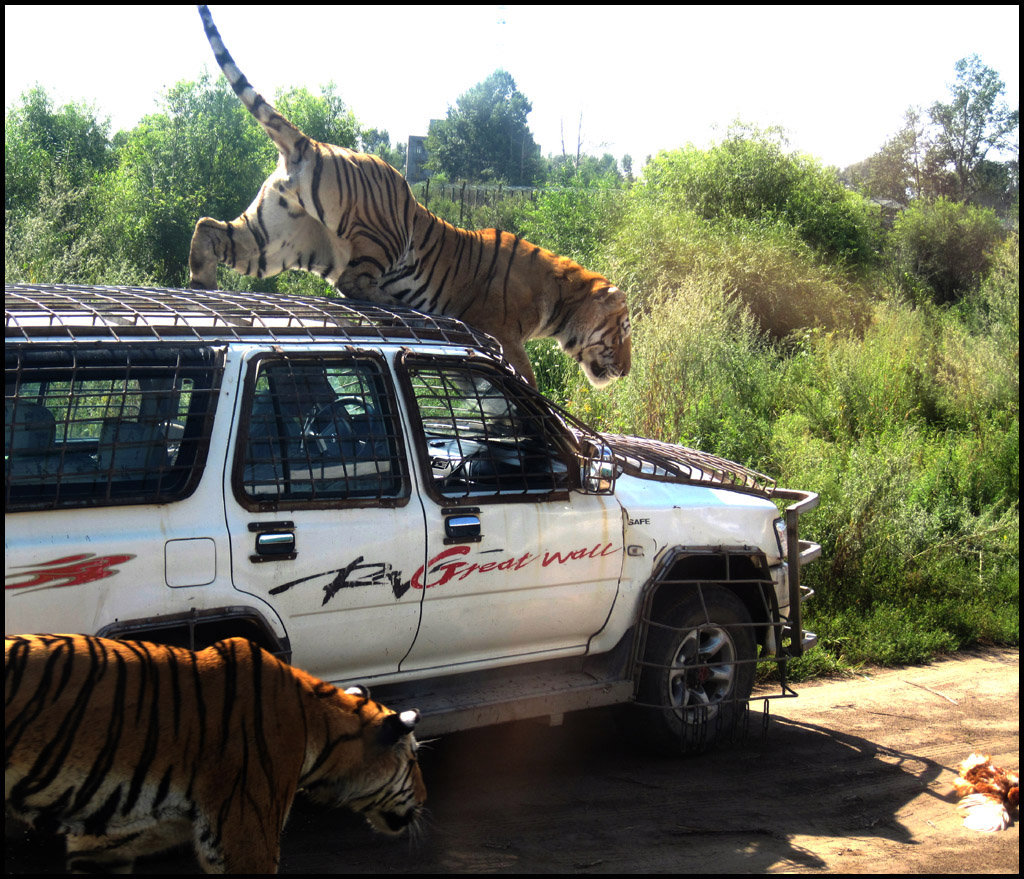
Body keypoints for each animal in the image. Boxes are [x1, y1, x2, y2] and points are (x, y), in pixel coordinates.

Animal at [188, 4, 626, 387]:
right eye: (622, 330)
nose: (626, 370)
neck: (561, 299)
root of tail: (311, 145)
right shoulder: (501, 330)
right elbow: (526, 377)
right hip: (389, 231)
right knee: (352, 280)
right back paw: (393, 303)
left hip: (272, 241)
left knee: (209, 227)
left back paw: (202, 285)